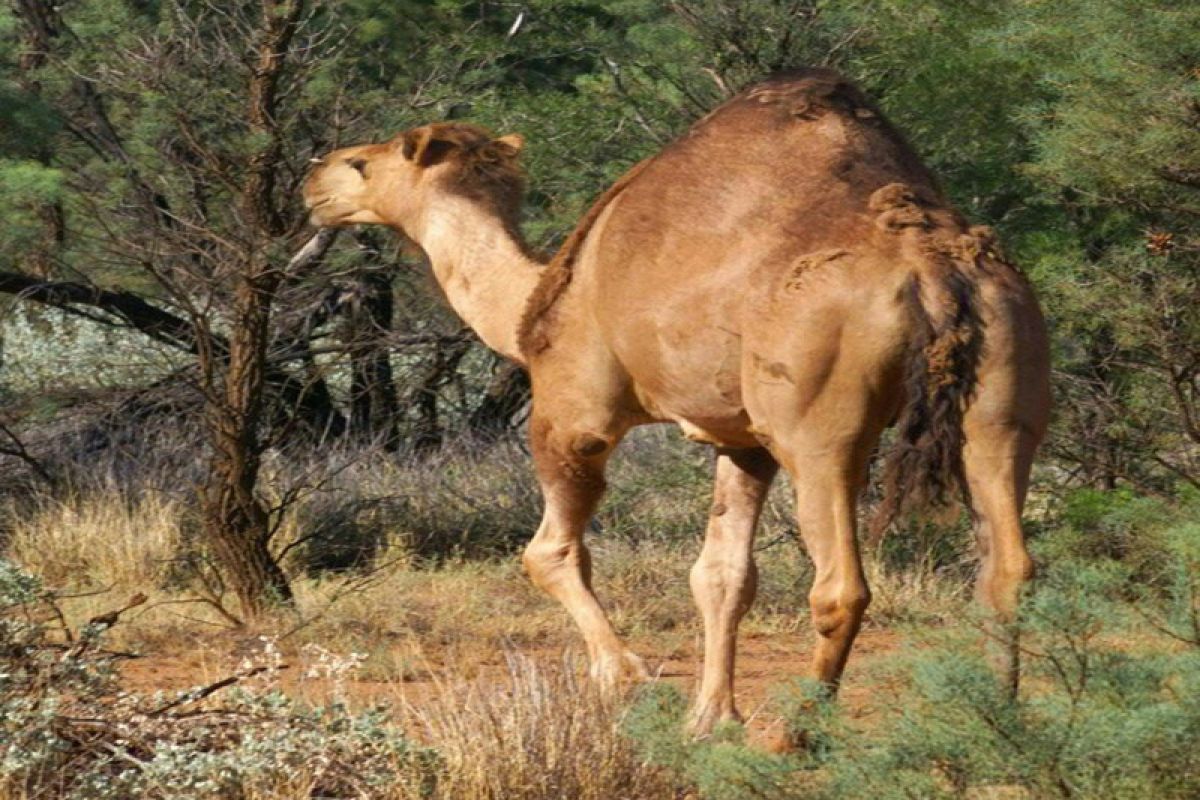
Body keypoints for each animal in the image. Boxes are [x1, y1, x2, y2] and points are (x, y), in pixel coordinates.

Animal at [302, 70, 1051, 738]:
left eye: (362, 164)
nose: (313, 178)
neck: (531, 302)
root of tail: (933, 268)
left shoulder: (573, 413)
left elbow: (549, 553)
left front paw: (624, 675)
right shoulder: (740, 440)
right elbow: (722, 575)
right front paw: (710, 718)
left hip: (820, 429)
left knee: (840, 583)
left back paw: (798, 732)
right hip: (1004, 389)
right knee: (1008, 566)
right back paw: (998, 717)